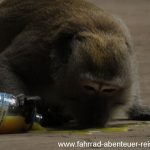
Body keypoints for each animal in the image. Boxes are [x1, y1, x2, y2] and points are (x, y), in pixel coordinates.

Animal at [0, 0, 150, 129]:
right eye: (89, 87)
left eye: (109, 90)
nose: (95, 115)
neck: (98, 30)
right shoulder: (40, 49)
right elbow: (7, 64)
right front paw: (22, 107)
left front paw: (137, 109)